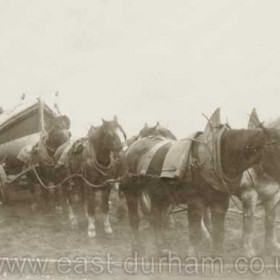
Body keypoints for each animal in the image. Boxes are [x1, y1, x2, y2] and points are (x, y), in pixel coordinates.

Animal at [120, 109, 272, 256]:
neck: (214, 157)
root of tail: (131, 148)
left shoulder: (220, 202)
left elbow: (219, 233)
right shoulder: (195, 202)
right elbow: (195, 233)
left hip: (158, 194)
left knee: (156, 219)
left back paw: (163, 249)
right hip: (131, 191)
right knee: (134, 218)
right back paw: (137, 248)